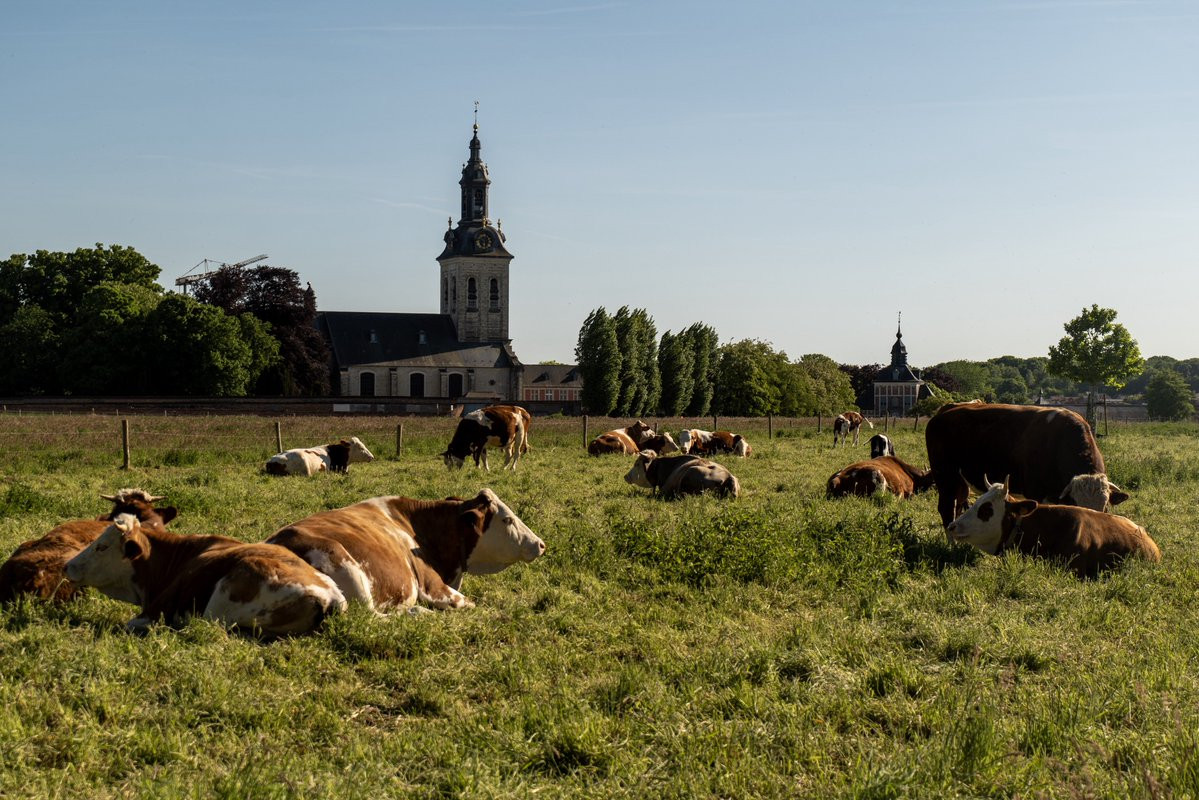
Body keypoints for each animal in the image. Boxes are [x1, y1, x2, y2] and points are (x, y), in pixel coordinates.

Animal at [925, 402, 1126, 529]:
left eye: (1105, 507)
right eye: (1075, 503)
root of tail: (945, 411)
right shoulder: (1035, 492)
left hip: (960, 481)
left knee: (958, 505)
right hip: (944, 475)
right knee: (946, 508)